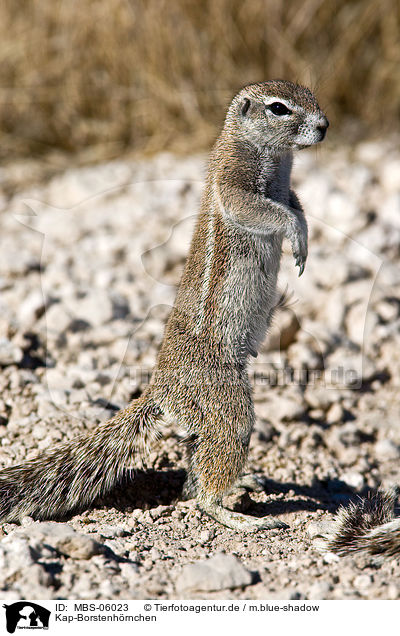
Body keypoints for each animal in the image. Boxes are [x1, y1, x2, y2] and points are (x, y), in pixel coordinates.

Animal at [0, 82, 328, 536]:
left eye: (311, 95)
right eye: (279, 109)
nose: (325, 125)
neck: (272, 157)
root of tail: (160, 389)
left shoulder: (287, 188)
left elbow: (295, 204)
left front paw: (305, 237)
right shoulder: (234, 182)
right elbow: (260, 209)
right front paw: (296, 233)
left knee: (194, 470)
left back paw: (242, 483)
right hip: (225, 400)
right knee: (205, 486)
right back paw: (234, 515)